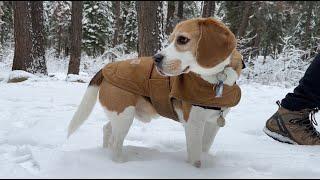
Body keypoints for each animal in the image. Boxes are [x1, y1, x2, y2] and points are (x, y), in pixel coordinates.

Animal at [67, 17, 242, 168]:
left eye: (182, 40)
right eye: (170, 40)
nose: (155, 58)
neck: (216, 78)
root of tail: (106, 68)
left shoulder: (213, 124)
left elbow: (204, 149)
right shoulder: (194, 124)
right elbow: (195, 158)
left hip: (121, 114)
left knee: (107, 129)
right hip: (124, 115)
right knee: (115, 142)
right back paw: (120, 164)